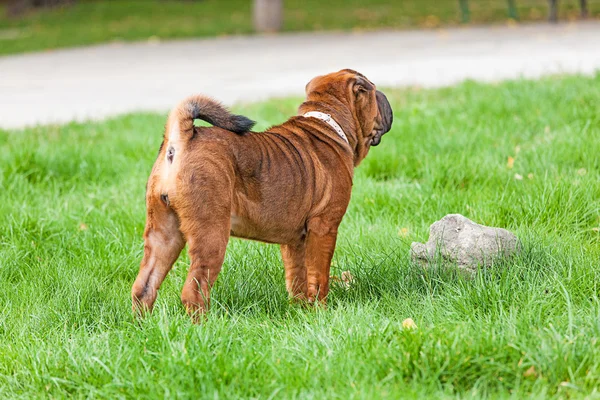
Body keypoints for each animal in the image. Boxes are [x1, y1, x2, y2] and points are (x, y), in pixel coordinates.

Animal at [131, 69, 394, 318]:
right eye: (373, 91)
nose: (385, 96)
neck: (329, 122)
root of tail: (182, 138)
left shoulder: (295, 240)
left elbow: (297, 278)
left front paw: (302, 312)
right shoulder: (324, 227)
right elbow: (318, 277)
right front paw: (321, 313)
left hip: (164, 234)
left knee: (143, 287)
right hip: (210, 234)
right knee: (194, 291)